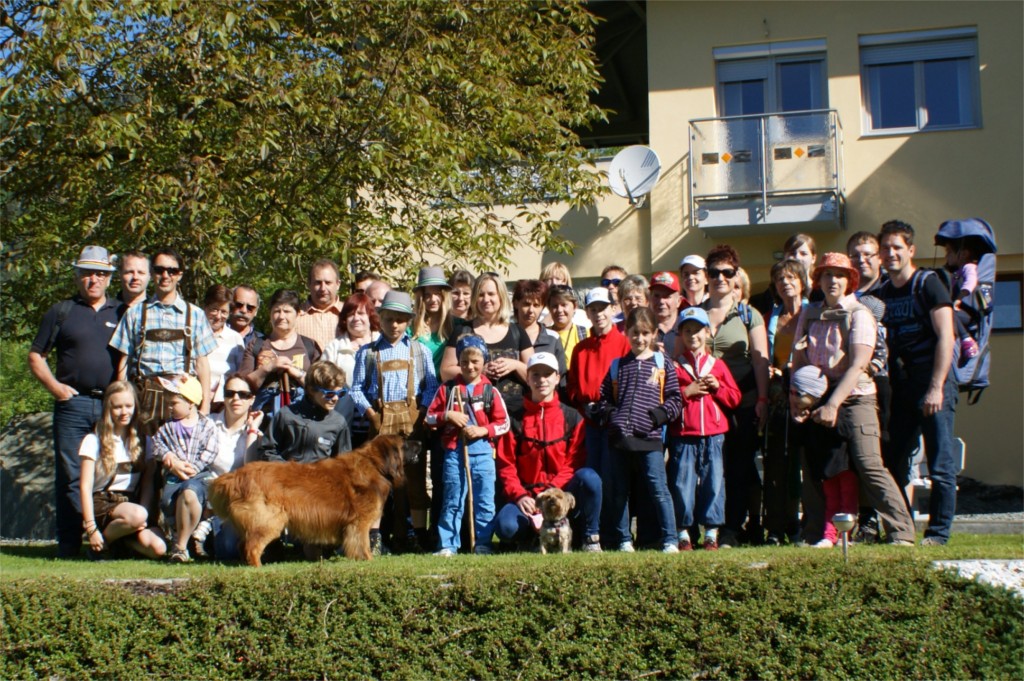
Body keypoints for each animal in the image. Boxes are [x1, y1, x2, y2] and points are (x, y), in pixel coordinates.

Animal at [209, 435, 420, 566]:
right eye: (404, 443)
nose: (419, 442)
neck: (374, 464)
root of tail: (235, 476)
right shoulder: (358, 523)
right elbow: (362, 545)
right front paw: (368, 560)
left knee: (242, 545)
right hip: (268, 521)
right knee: (251, 547)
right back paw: (258, 567)